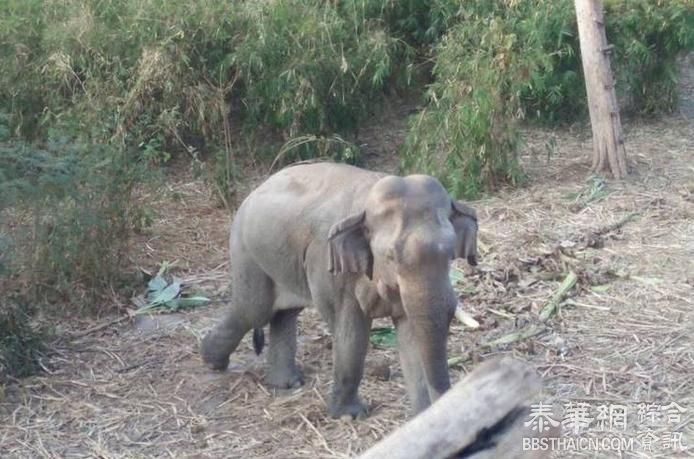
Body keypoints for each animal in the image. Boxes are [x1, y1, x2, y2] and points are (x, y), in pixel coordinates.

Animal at [201, 163, 478, 420]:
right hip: (247, 251)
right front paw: (349, 415)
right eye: (390, 256)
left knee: (284, 314)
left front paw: (420, 417)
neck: (368, 197)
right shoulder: (329, 265)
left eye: (451, 253)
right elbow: (351, 331)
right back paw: (211, 360)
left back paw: (287, 383)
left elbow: (410, 333)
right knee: (253, 310)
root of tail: (256, 189)